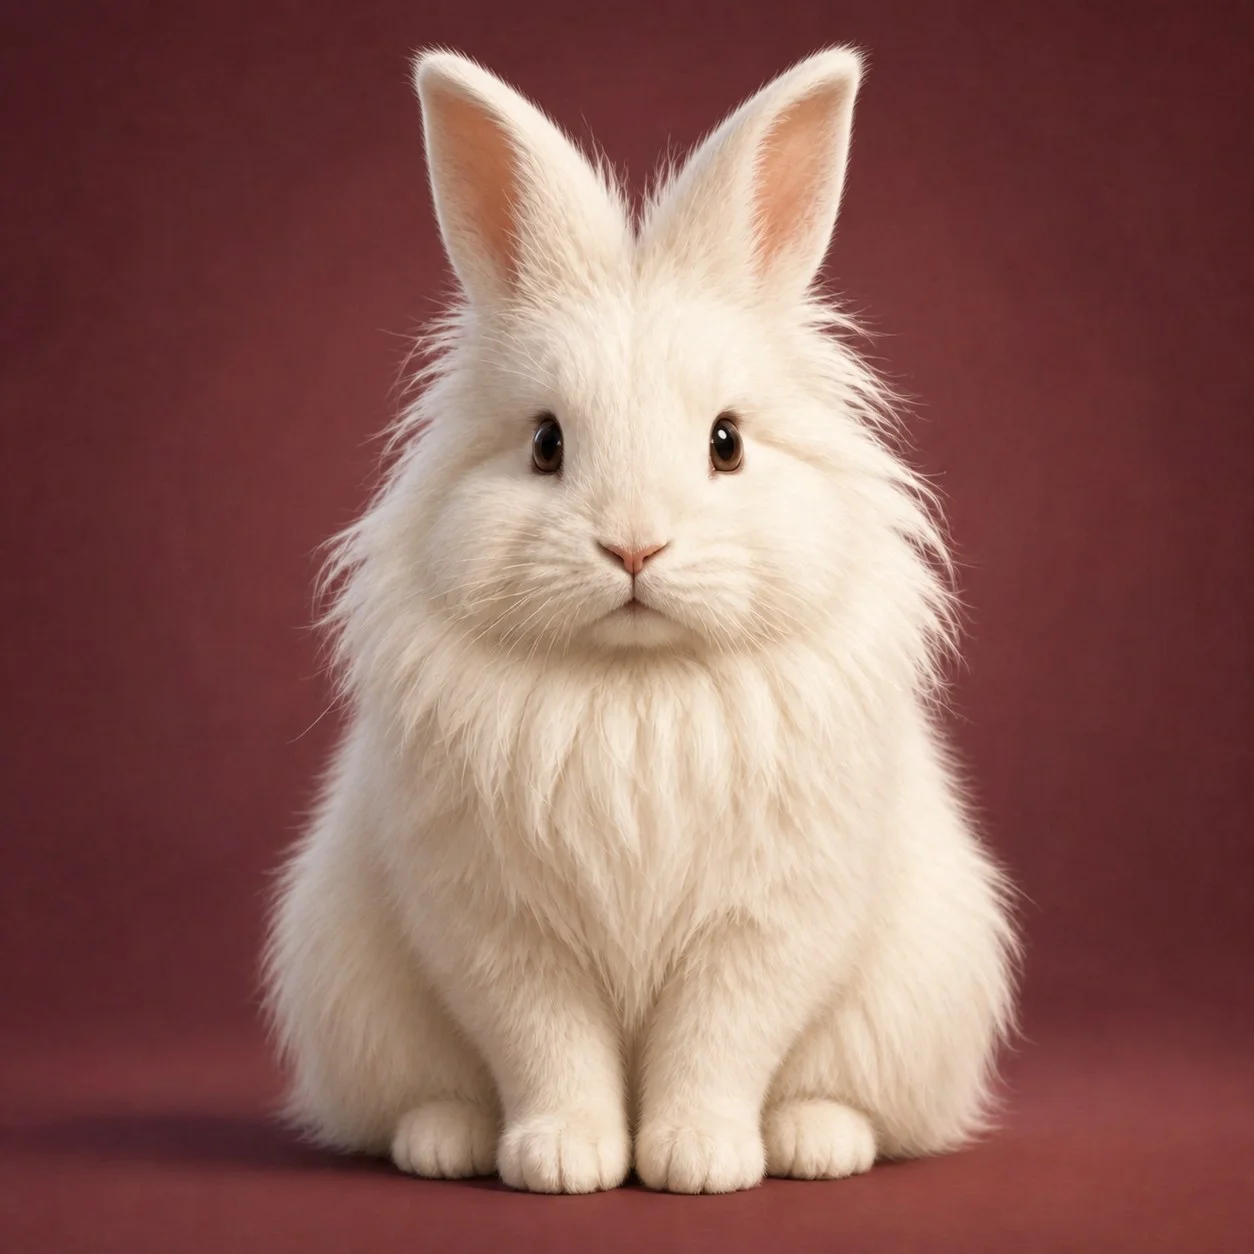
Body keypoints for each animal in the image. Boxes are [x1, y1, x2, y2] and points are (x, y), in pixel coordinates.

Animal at [263, 46, 1019, 1195]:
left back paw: (817, 1144)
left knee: (847, 1097)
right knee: (423, 1094)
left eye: (726, 442)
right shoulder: (503, 931)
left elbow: (720, 1041)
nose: (633, 549)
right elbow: (546, 1044)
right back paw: (445, 1144)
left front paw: (699, 1162)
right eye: (544, 444)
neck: (635, 686)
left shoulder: (764, 928)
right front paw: (562, 1161)